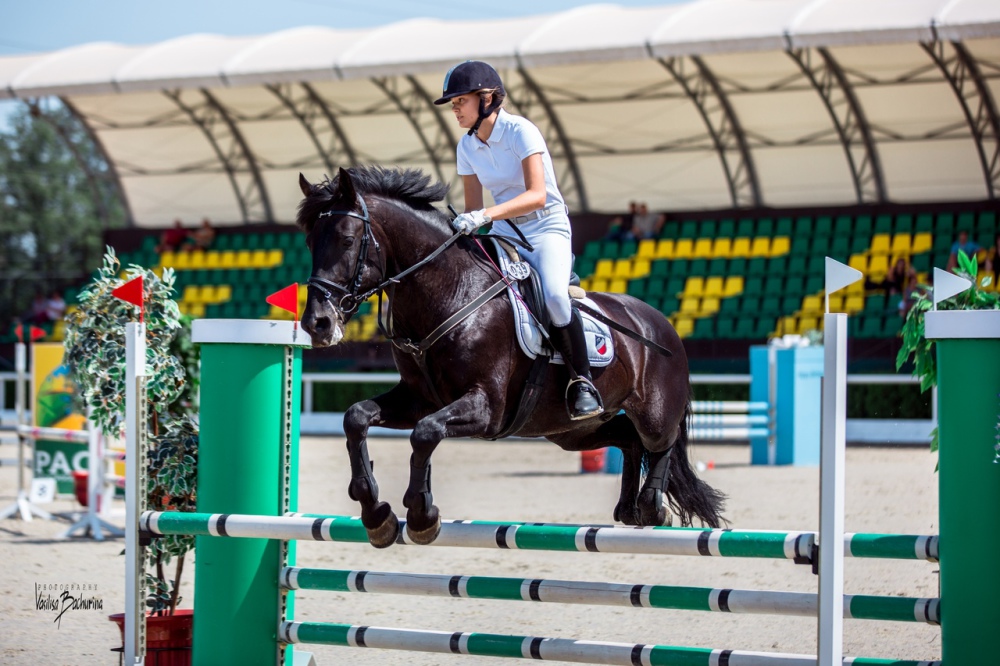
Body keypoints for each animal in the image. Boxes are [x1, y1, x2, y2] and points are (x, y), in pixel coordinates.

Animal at [296, 165, 728, 544]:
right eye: (309, 243)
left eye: (347, 240)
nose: (317, 323)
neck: (450, 292)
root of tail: (662, 322)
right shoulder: (418, 398)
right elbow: (357, 418)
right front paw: (376, 515)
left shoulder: (485, 407)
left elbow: (426, 434)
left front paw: (421, 516)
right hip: (568, 431)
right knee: (627, 438)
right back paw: (628, 509)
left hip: (652, 412)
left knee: (660, 443)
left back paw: (651, 506)